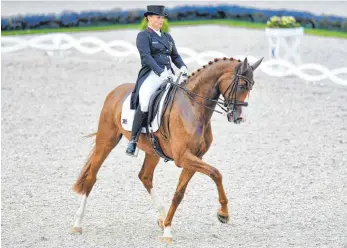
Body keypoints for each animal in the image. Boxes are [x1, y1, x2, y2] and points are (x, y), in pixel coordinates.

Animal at [72, 55, 266, 242]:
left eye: (252, 86)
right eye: (241, 85)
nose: (239, 118)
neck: (193, 107)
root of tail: (115, 91)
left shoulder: (195, 158)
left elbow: (179, 193)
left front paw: (167, 229)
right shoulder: (183, 157)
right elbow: (216, 173)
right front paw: (223, 214)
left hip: (152, 151)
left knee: (145, 176)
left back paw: (161, 217)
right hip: (106, 140)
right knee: (91, 178)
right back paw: (77, 224)